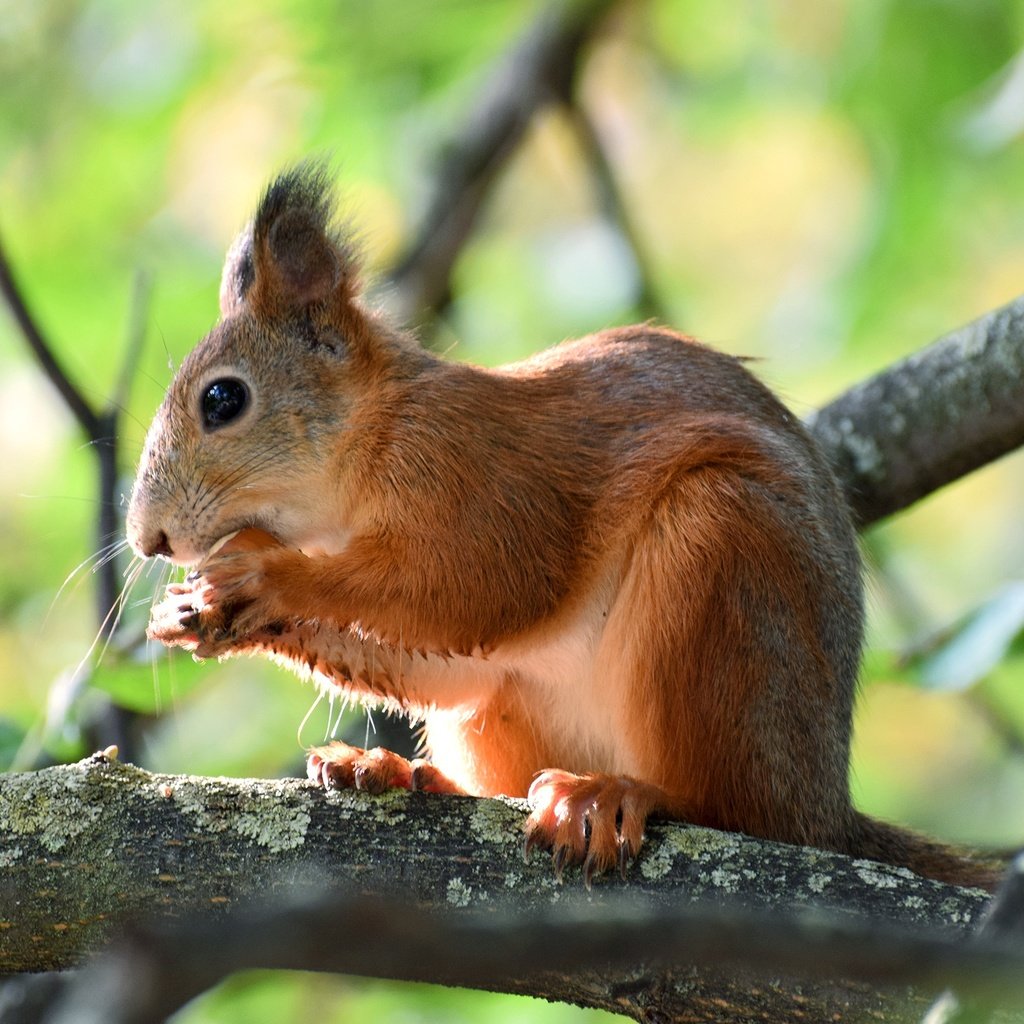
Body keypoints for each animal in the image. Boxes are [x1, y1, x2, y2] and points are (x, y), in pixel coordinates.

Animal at [128, 165, 999, 888]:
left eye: (223, 400)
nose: (147, 540)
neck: (367, 444)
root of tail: (824, 806)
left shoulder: (484, 485)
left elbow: (473, 591)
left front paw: (261, 574)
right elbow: (442, 659)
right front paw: (194, 610)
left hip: (722, 557)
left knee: (732, 808)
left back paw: (613, 793)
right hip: (508, 710)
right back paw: (395, 770)